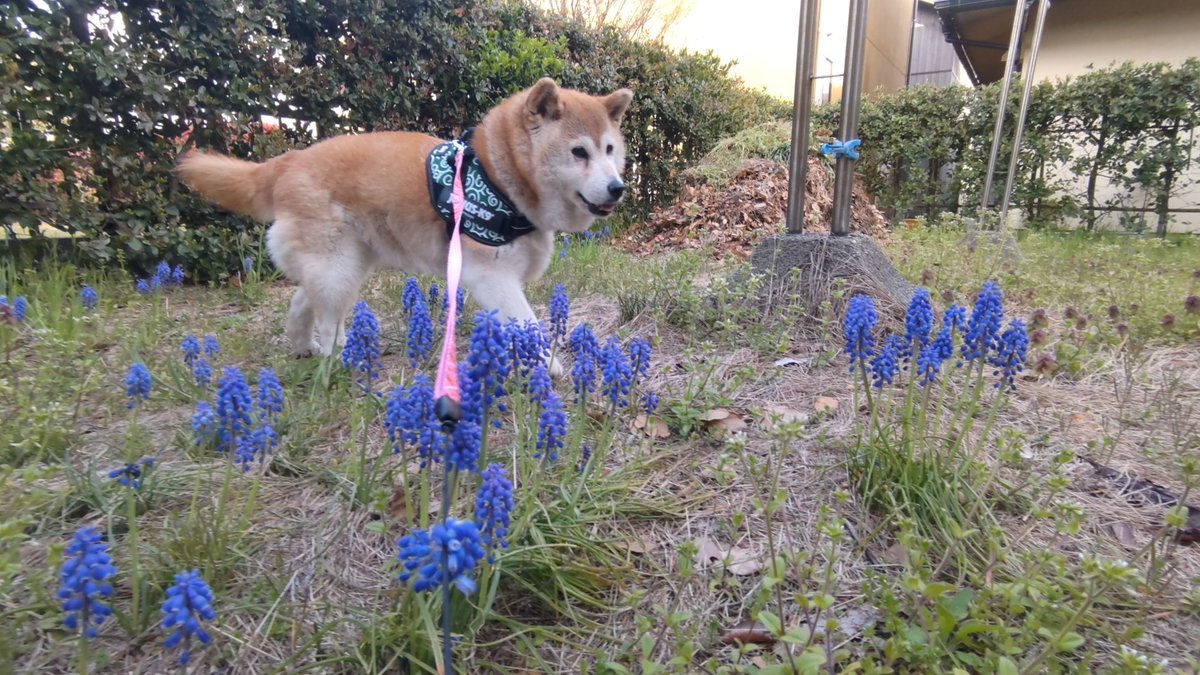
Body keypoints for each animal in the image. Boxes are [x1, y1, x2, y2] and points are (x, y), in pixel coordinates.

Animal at [177, 79, 633, 372]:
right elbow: (528, 324)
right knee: (326, 319)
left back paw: (304, 347)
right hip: (337, 269)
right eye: (579, 152)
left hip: (344, 267)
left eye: (610, 150)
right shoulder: (491, 276)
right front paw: (549, 366)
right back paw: (339, 361)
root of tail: (288, 161)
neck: (499, 176)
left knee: (302, 301)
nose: (618, 188)